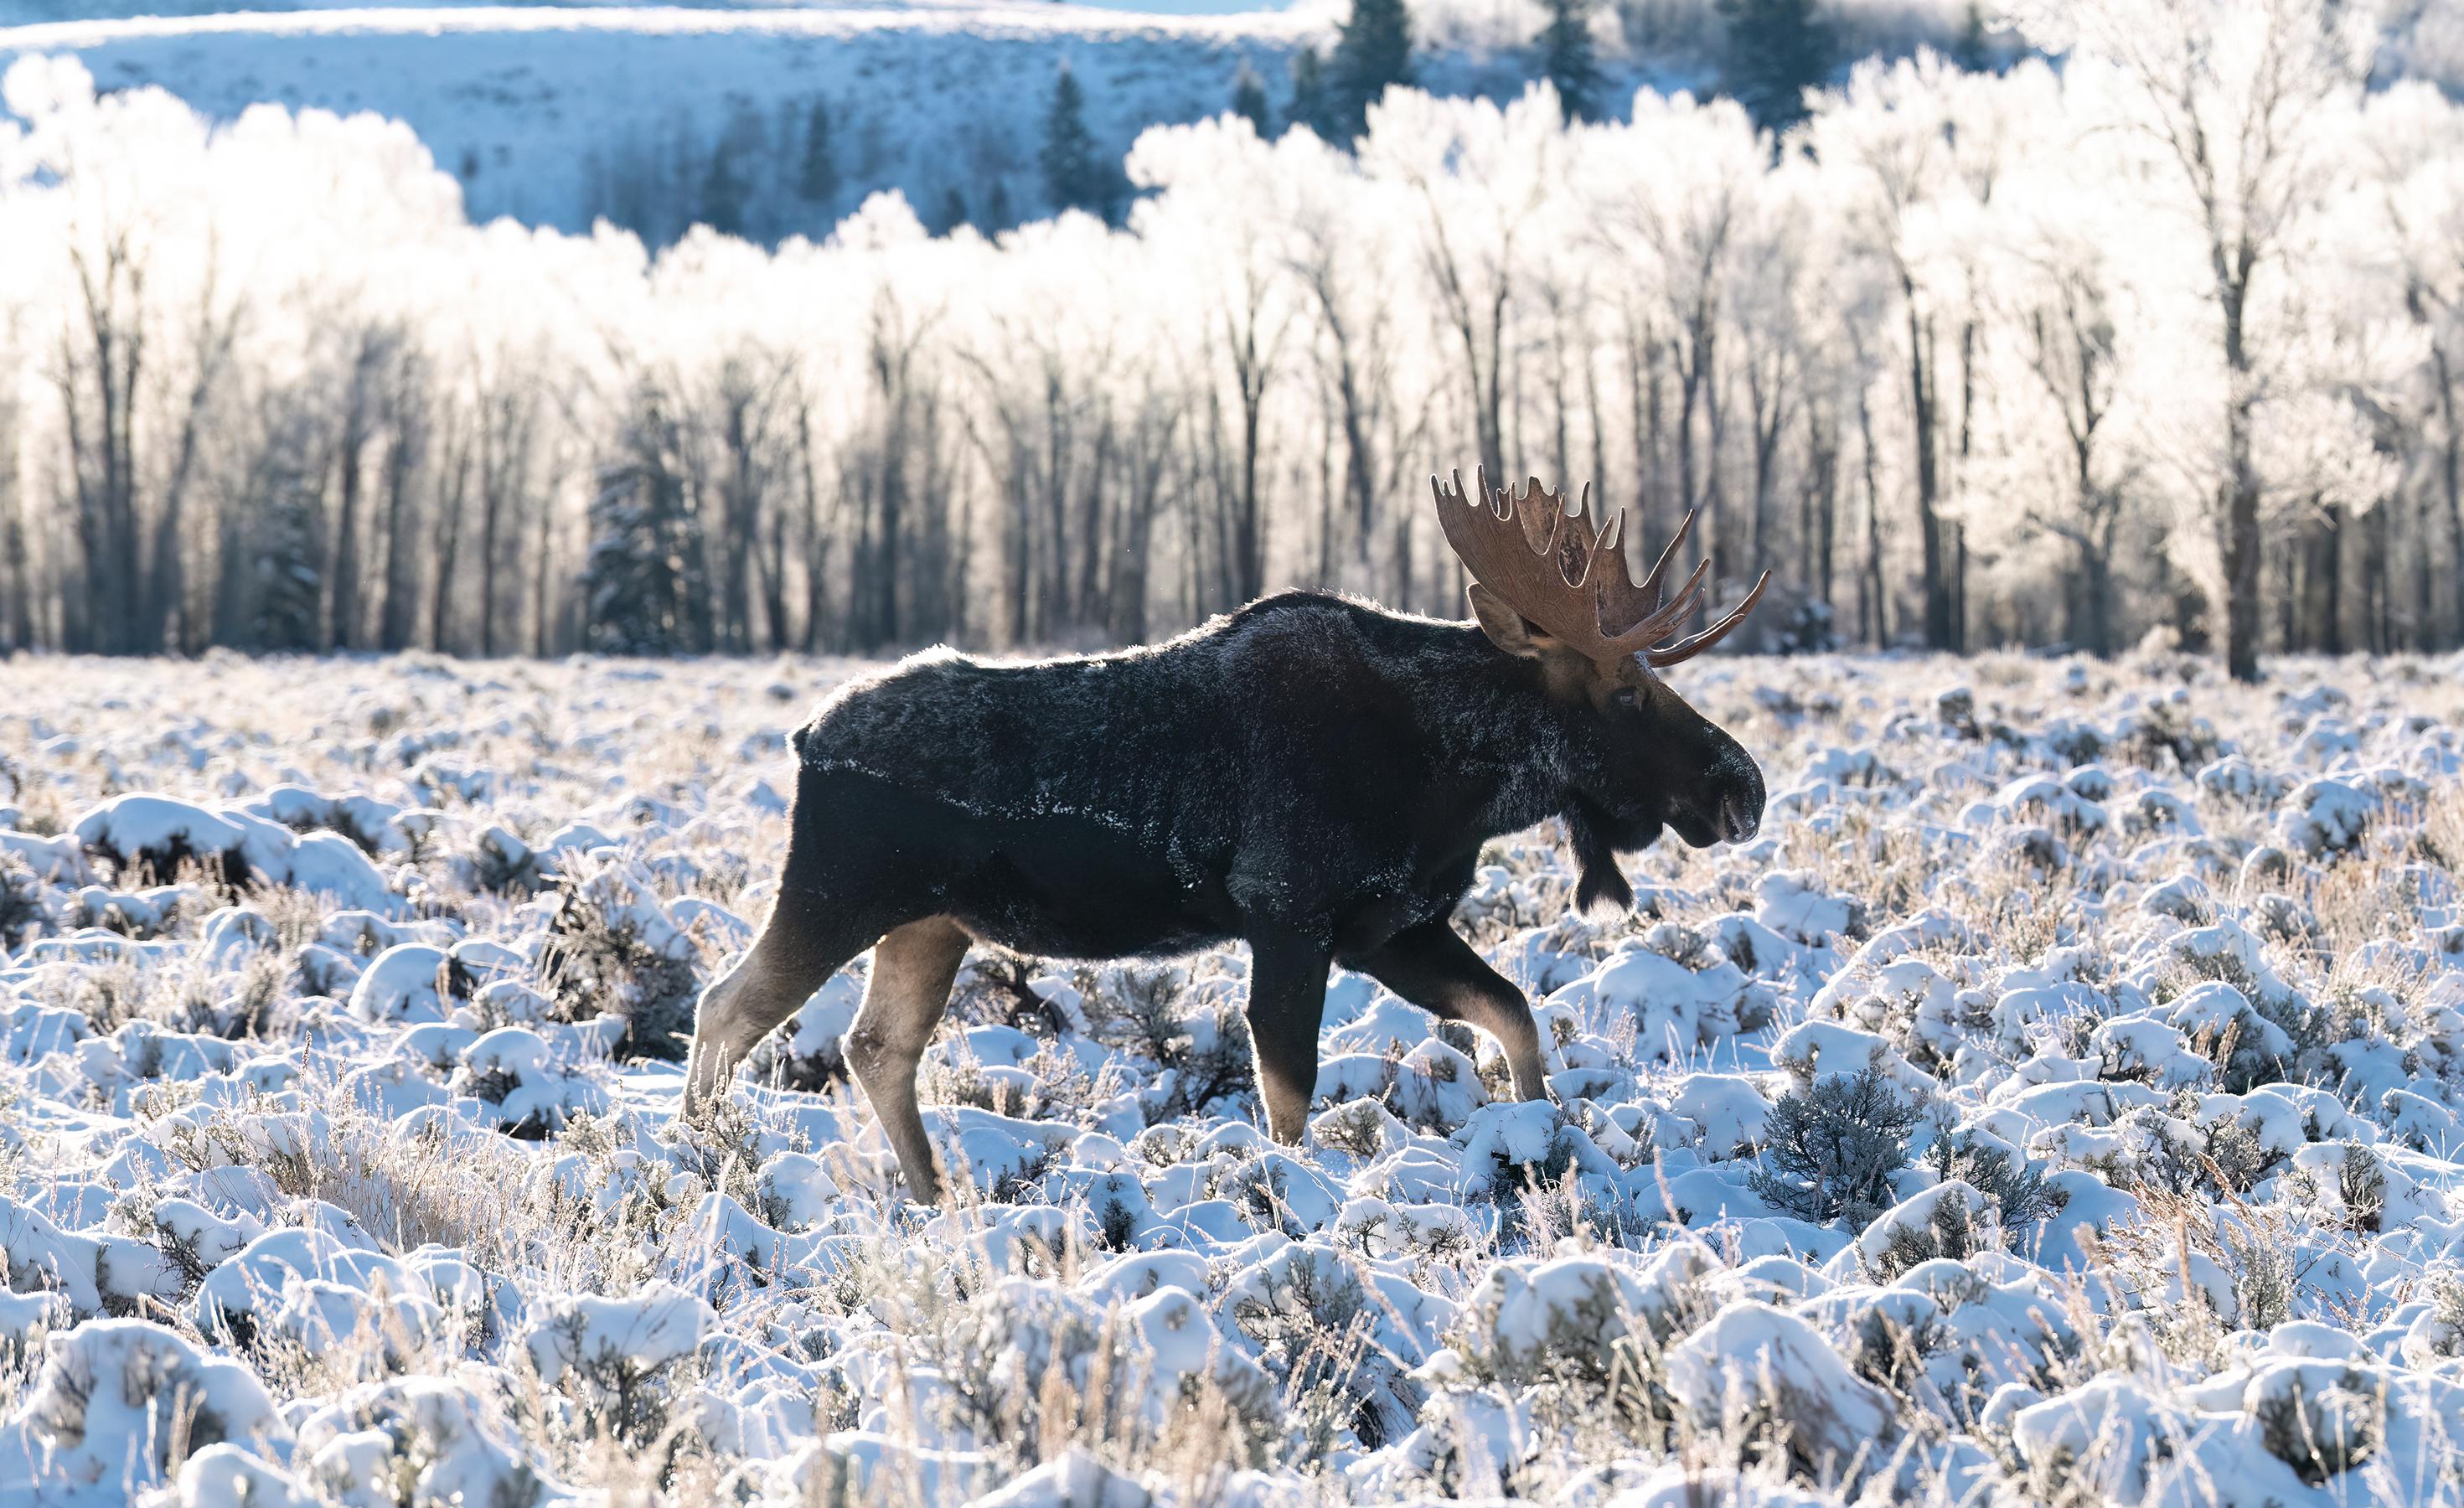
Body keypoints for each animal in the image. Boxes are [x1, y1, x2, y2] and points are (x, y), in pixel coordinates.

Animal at [682, 467, 1770, 1202]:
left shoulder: (1390, 924)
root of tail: (806, 737)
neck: (1448, 780)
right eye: (1625, 689)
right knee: (725, 1006)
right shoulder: (1291, 911)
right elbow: (1288, 1089)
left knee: (876, 1045)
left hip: (931, 922)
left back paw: (936, 1198)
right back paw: (703, 1166)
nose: (1744, 787)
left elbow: (1513, 1015)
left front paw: (1542, 1142)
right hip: (837, 889)